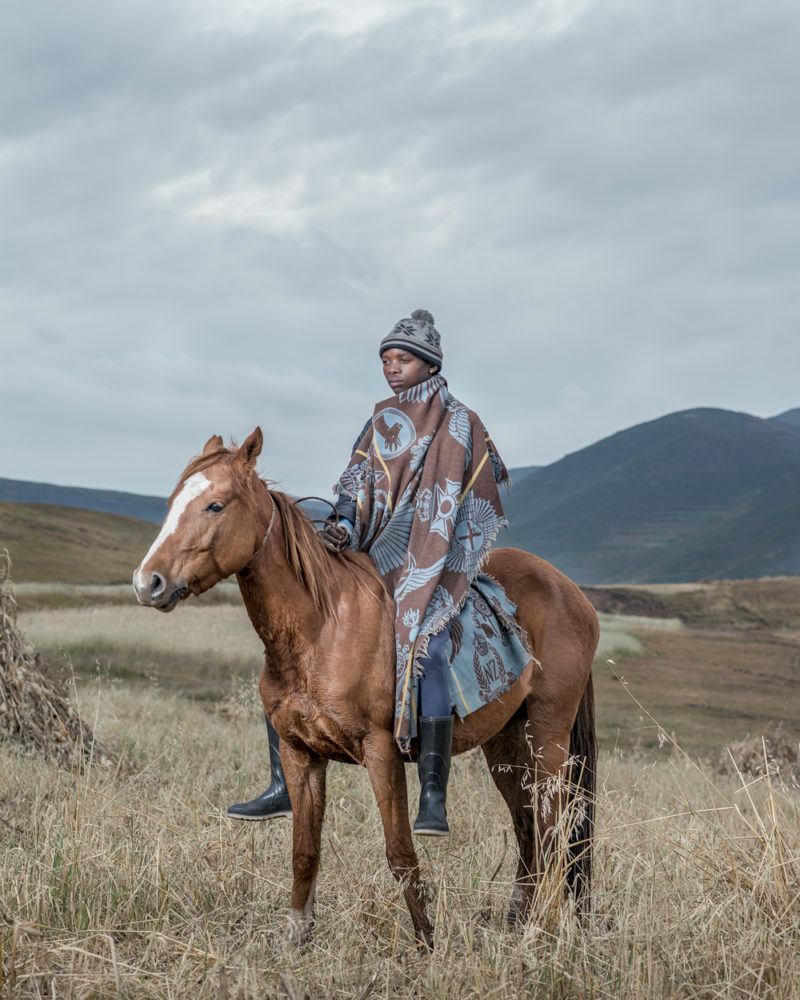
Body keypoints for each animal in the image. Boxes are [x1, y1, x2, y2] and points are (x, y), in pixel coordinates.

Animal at [134, 428, 600, 944]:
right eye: (173, 502)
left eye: (215, 505)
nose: (147, 583)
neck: (319, 630)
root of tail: (572, 592)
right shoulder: (300, 755)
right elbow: (304, 853)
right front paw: (297, 937)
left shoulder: (381, 752)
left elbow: (400, 854)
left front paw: (427, 944)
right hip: (506, 743)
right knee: (527, 828)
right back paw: (519, 923)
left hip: (548, 737)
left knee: (555, 830)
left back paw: (539, 931)